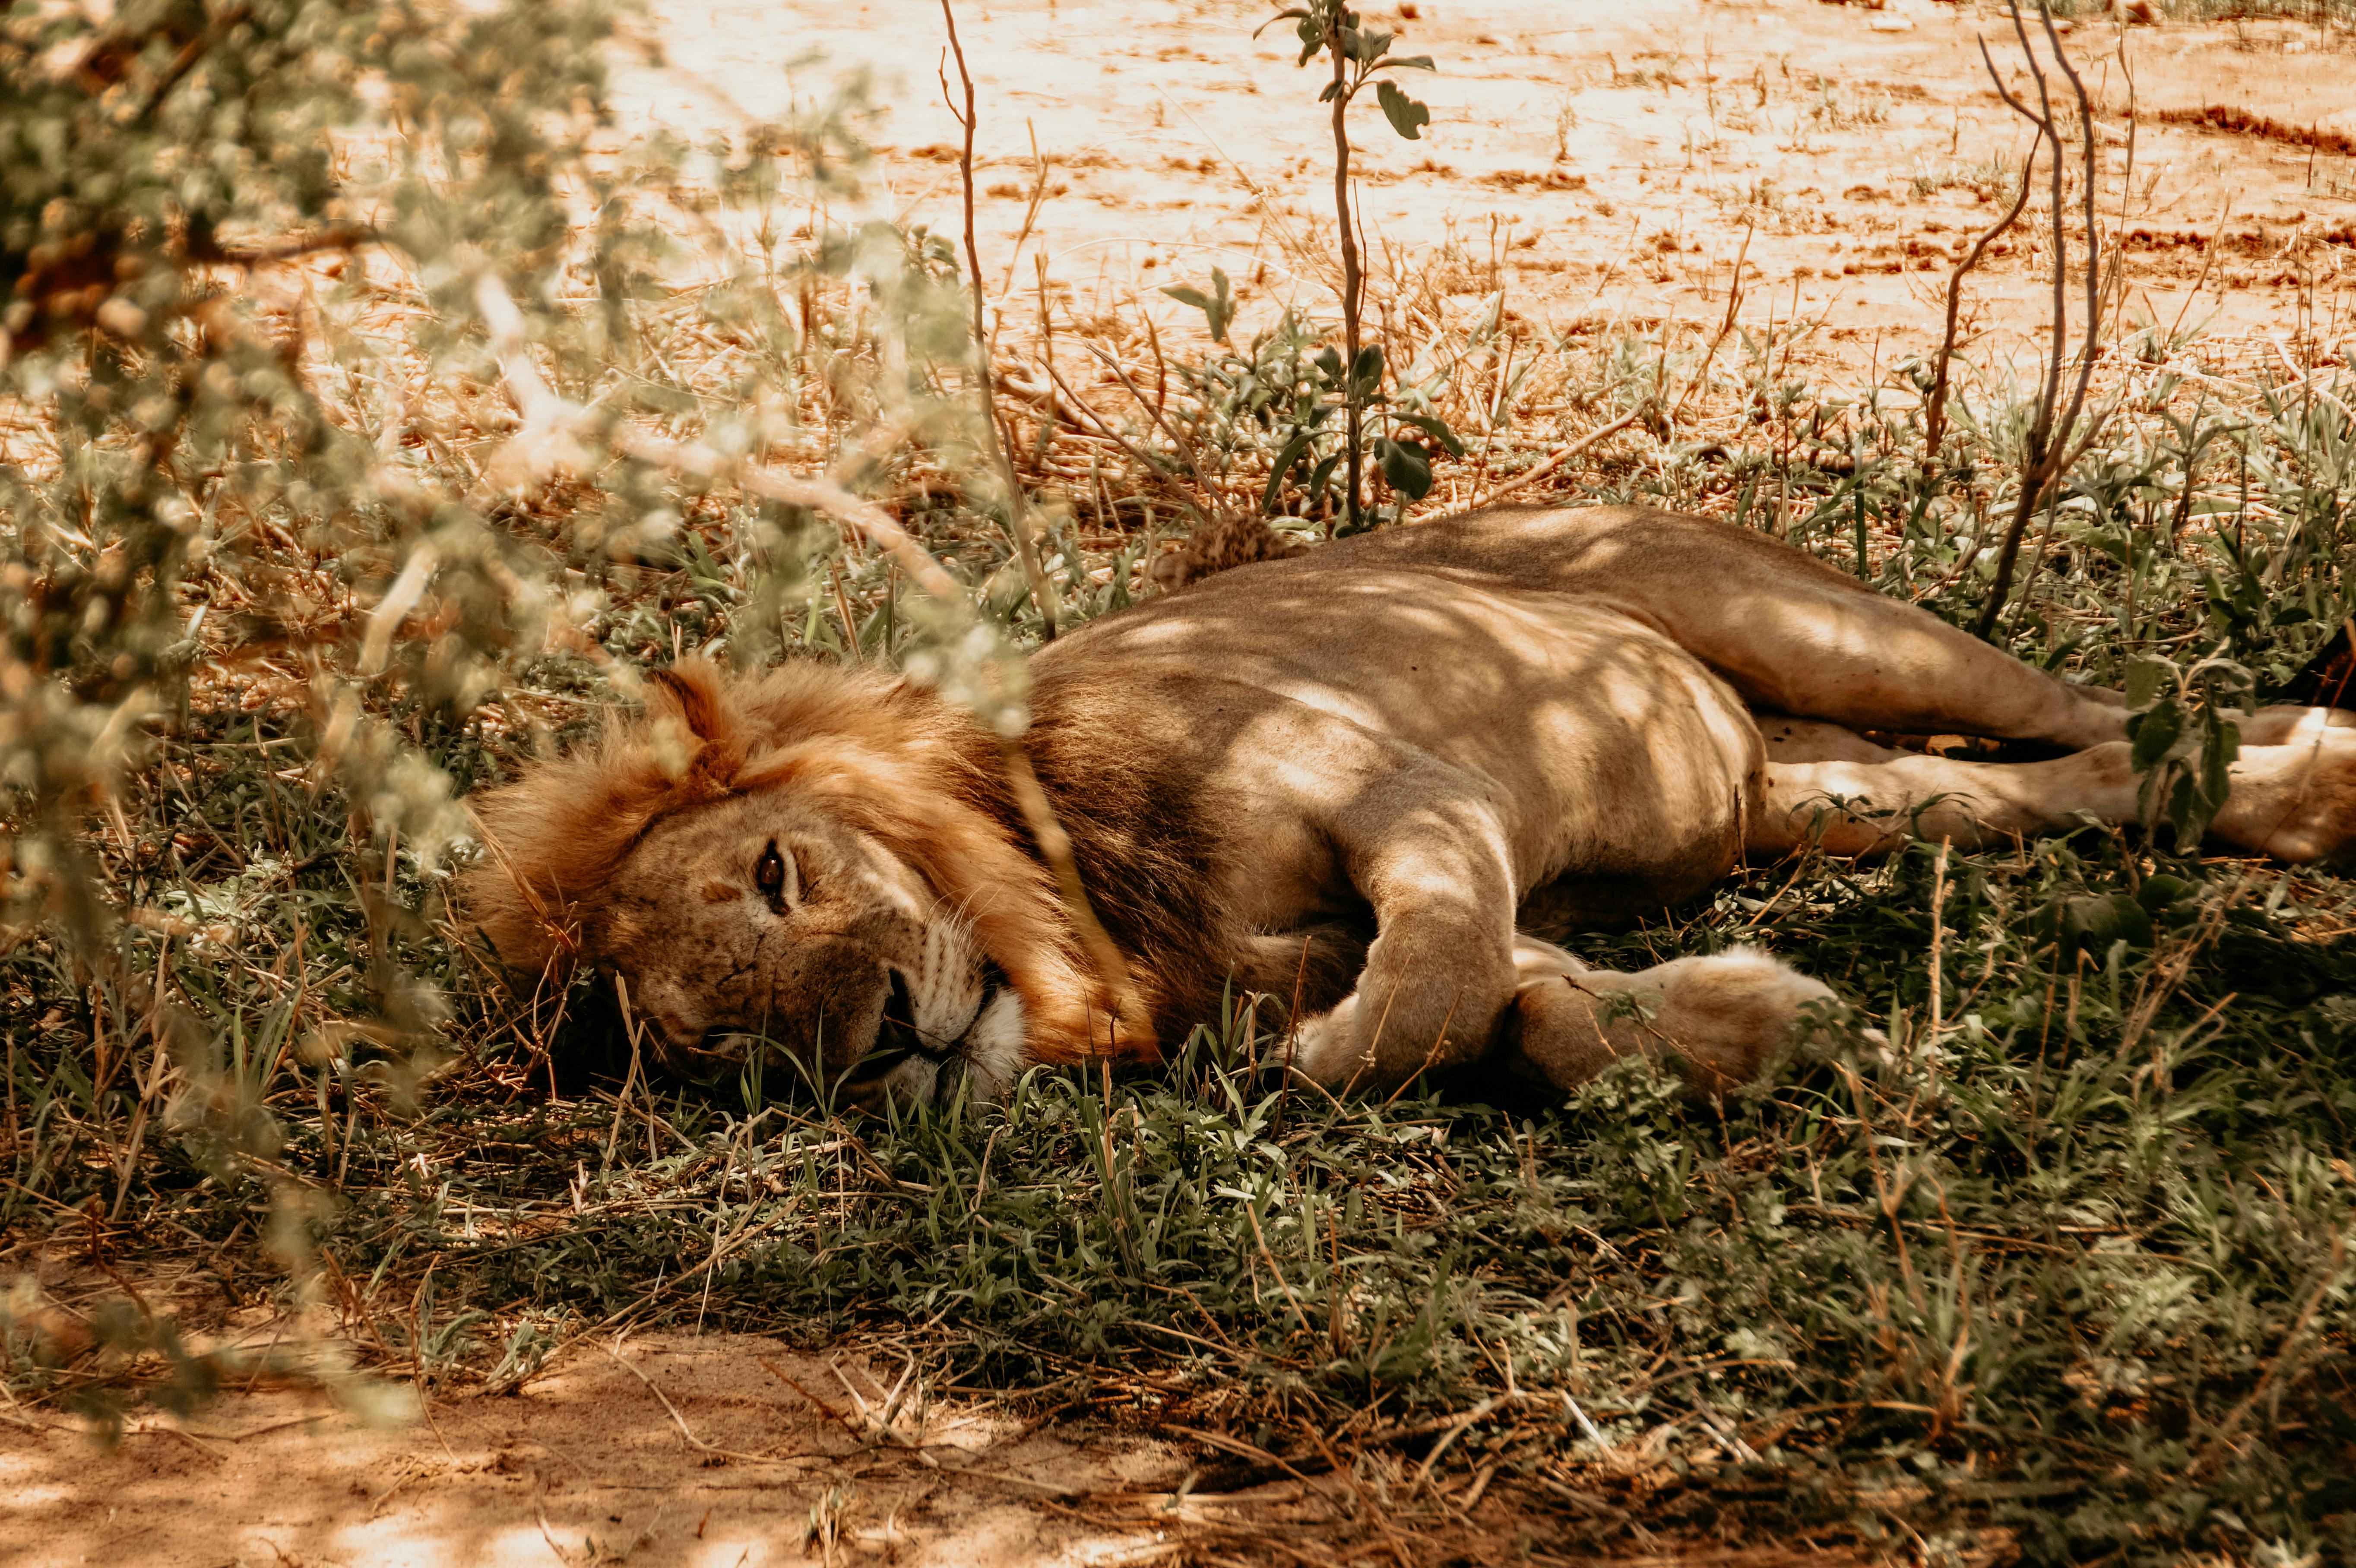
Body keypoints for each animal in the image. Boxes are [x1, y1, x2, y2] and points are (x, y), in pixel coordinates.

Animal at [459, 506, 2356, 1106]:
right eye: (710, 1042)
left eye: (783, 872)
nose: (866, 1047)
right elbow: (1526, 1010)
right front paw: (1751, 1021)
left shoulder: (1405, 789)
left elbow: (1424, 990)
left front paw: (1309, 1057)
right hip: (1803, 791)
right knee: (2040, 784)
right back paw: (2284, 794)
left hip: (1794, 617)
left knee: (2092, 702)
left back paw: (2310, 761)